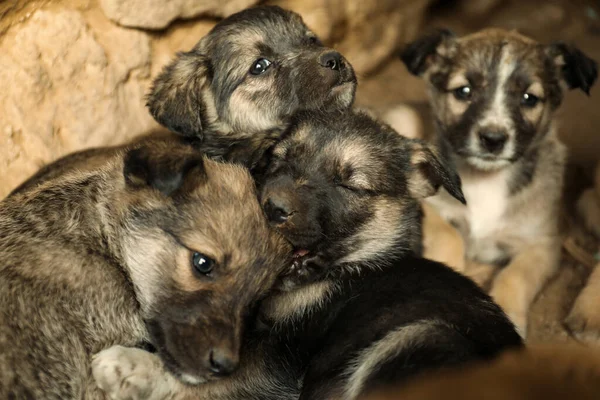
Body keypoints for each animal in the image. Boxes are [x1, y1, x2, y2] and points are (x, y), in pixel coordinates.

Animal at [91, 109, 524, 400]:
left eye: (349, 185)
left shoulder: (277, 363)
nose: (271, 207)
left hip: (419, 337)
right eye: (279, 158)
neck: (347, 270)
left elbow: (211, 373)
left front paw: (129, 364)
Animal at [400, 26, 596, 336]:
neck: (486, 180)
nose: (493, 139)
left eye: (529, 98)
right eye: (464, 91)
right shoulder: (430, 208)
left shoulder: (543, 244)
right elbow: (450, 238)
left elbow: (515, 276)